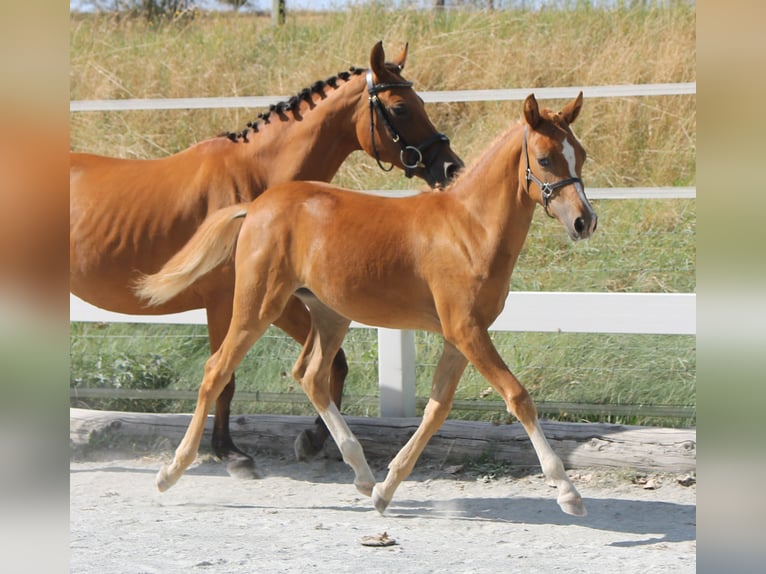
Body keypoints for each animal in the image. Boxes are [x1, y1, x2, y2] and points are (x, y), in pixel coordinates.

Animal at [70, 42, 462, 480]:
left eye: (420, 102)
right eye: (400, 108)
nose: (451, 166)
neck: (257, 178)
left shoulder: (281, 299)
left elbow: (333, 364)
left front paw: (313, 440)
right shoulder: (232, 302)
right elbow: (225, 375)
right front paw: (230, 453)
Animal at [136, 92, 600, 516]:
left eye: (580, 154)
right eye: (544, 159)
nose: (584, 221)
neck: (469, 227)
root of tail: (255, 206)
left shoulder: (461, 335)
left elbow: (436, 408)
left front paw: (385, 490)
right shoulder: (466, 330)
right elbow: (517, 397)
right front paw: (568, 492)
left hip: (330, 314)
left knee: (311, 375)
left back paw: (361, 474)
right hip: (257, 305)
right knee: (217, 370)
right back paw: (170, 472)